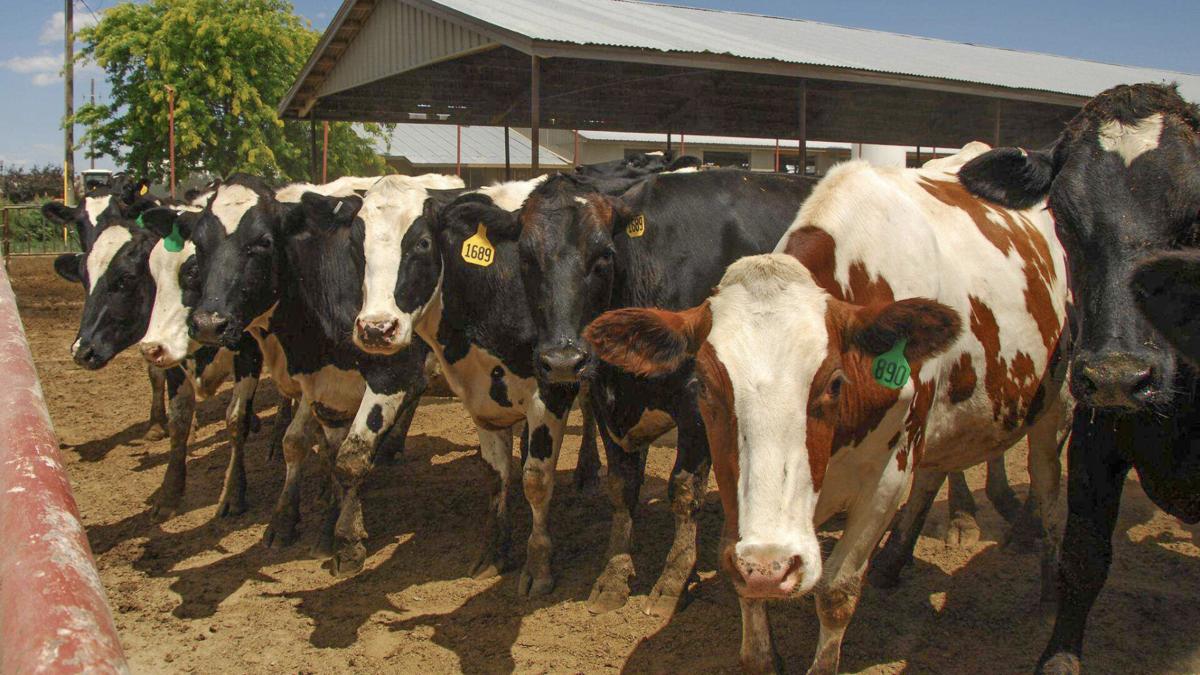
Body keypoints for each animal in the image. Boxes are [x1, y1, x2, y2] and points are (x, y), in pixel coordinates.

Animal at [183, 173, 458, 576]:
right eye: (200, 244)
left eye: (263, 241)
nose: (207, 323)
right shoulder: (327, 388)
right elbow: (326, 453)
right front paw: (319, 523)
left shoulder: (392, 372)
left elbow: (351, 457)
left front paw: (347, 540)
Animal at [516, 169, 817, 616]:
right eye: (525, 257)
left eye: (604, 256)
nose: (563, 360)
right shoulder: (606, 399)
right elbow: (622, 487)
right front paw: (614, 574)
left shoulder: (696, 401)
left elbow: (684, 490)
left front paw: (674, 580)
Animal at [583, 151, 1071, 672]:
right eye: (704, 385)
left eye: (834, 382)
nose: (772, 566)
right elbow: (746, 589)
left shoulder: (887, 476)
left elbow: (837, 591)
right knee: (937, 471)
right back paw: (895, 561)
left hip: (1056, 409)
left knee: (1048, 485)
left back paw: (1050, 587)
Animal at [959, 82, 1200, 674]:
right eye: (1064, 220)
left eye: (1194, 217)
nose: (1118, 376)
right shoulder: (1096, 434)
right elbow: (1084, 557)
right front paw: (1059, 657)